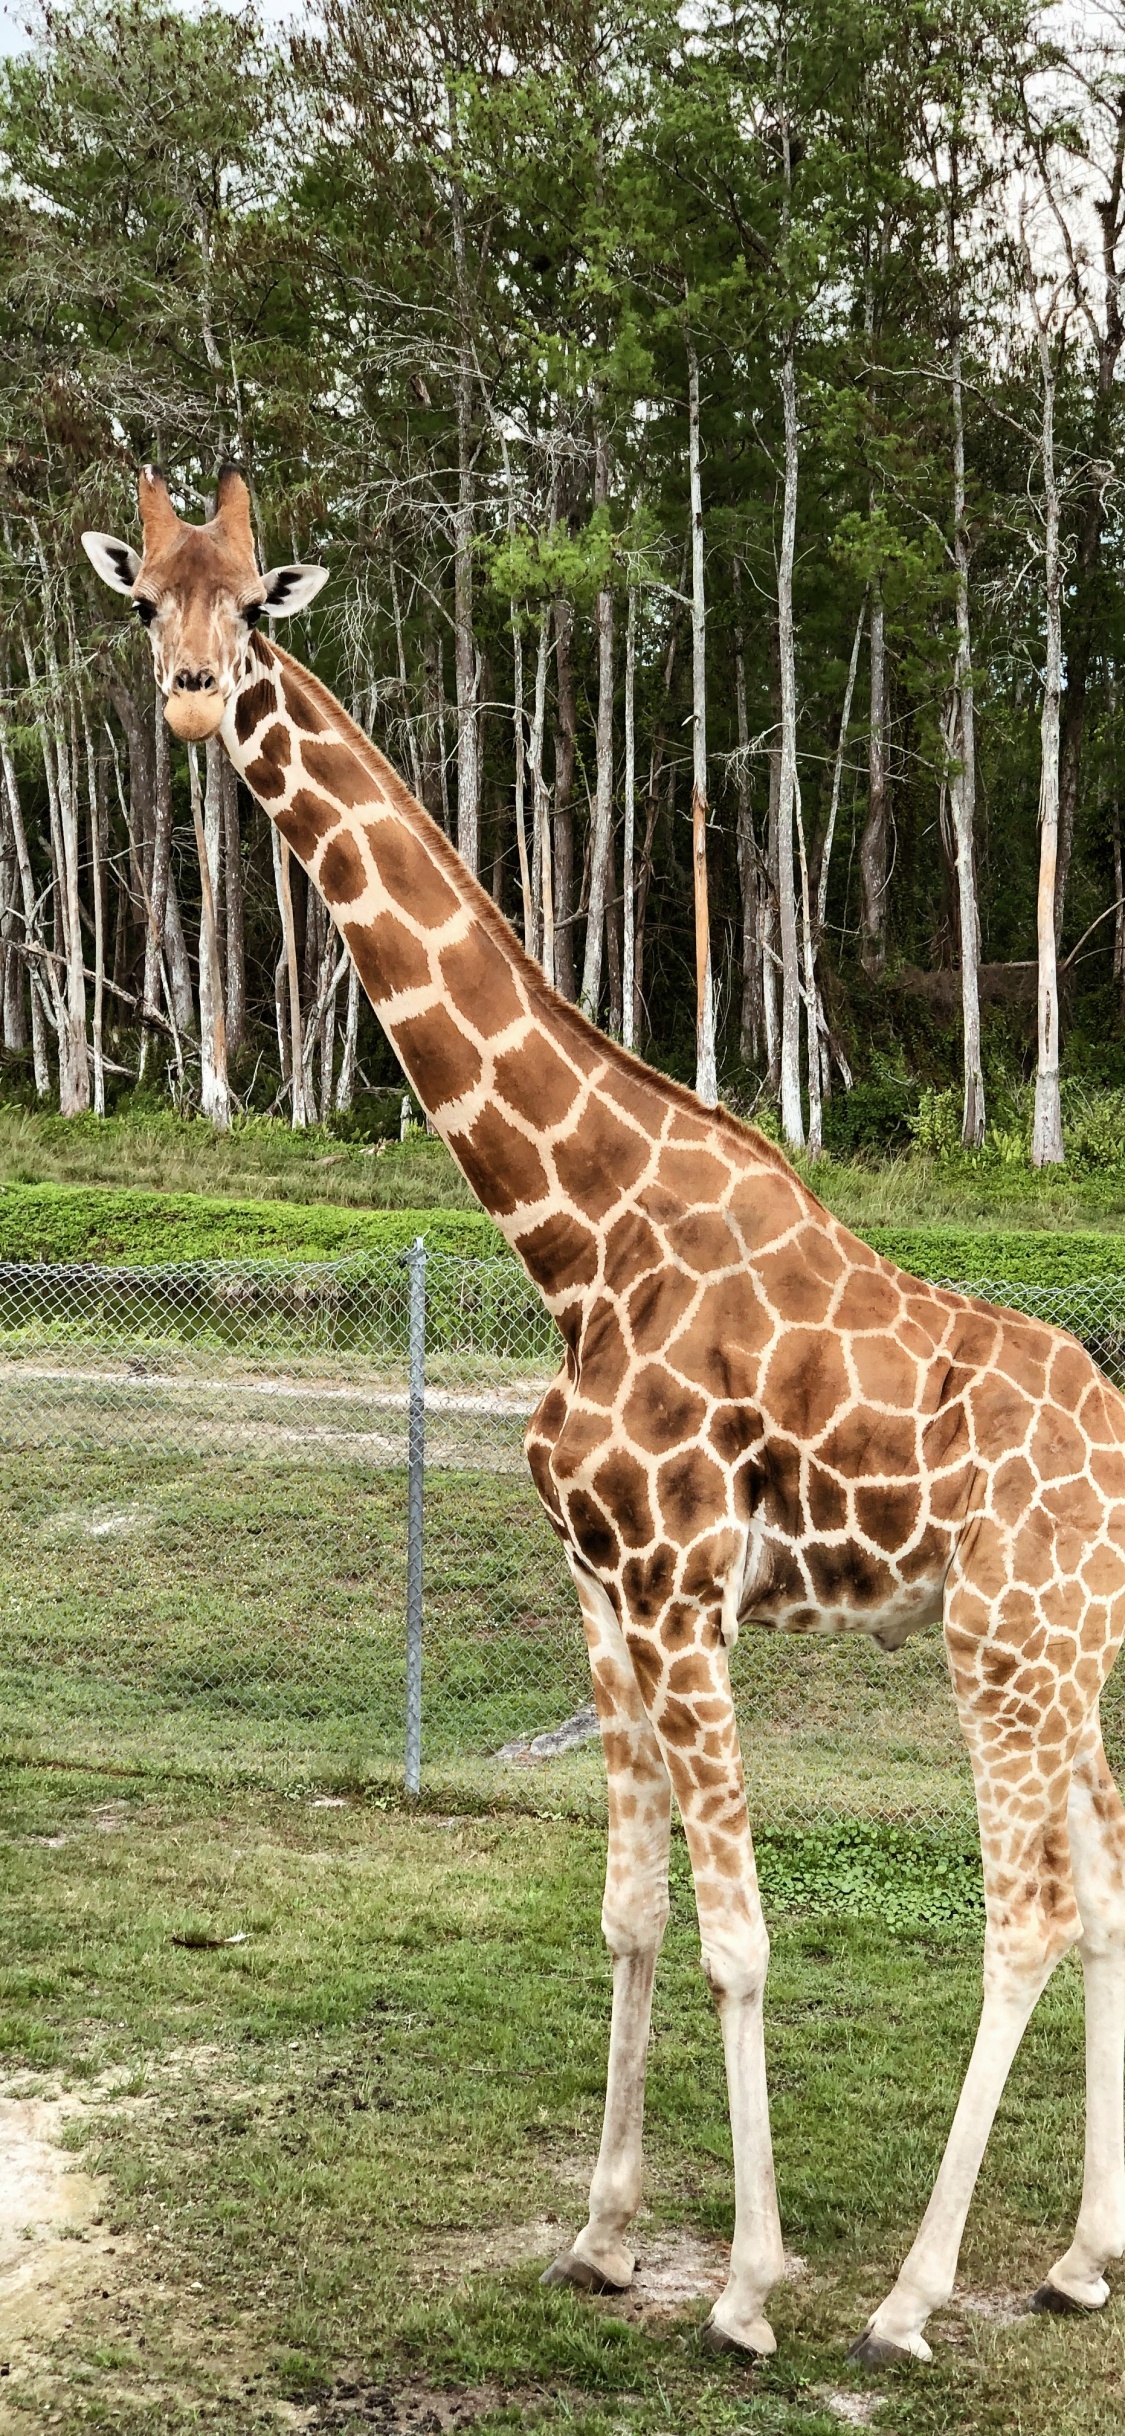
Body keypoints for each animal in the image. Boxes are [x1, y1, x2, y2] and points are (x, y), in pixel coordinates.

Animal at [82, 466, 1125, 2367]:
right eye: (145, 606)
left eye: (254, 608)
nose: (193, 701)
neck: (574, 1234)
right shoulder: (598, 1591)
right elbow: (631, 1911)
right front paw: (602, 2234)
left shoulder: (682, 1587)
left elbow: (739, 1937)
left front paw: (750, 2288)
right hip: (1059, 1649)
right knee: (1102, 1883)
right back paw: (1080, 2257)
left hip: (1000, 1646)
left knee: (1025, 1910)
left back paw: (909, 2300)